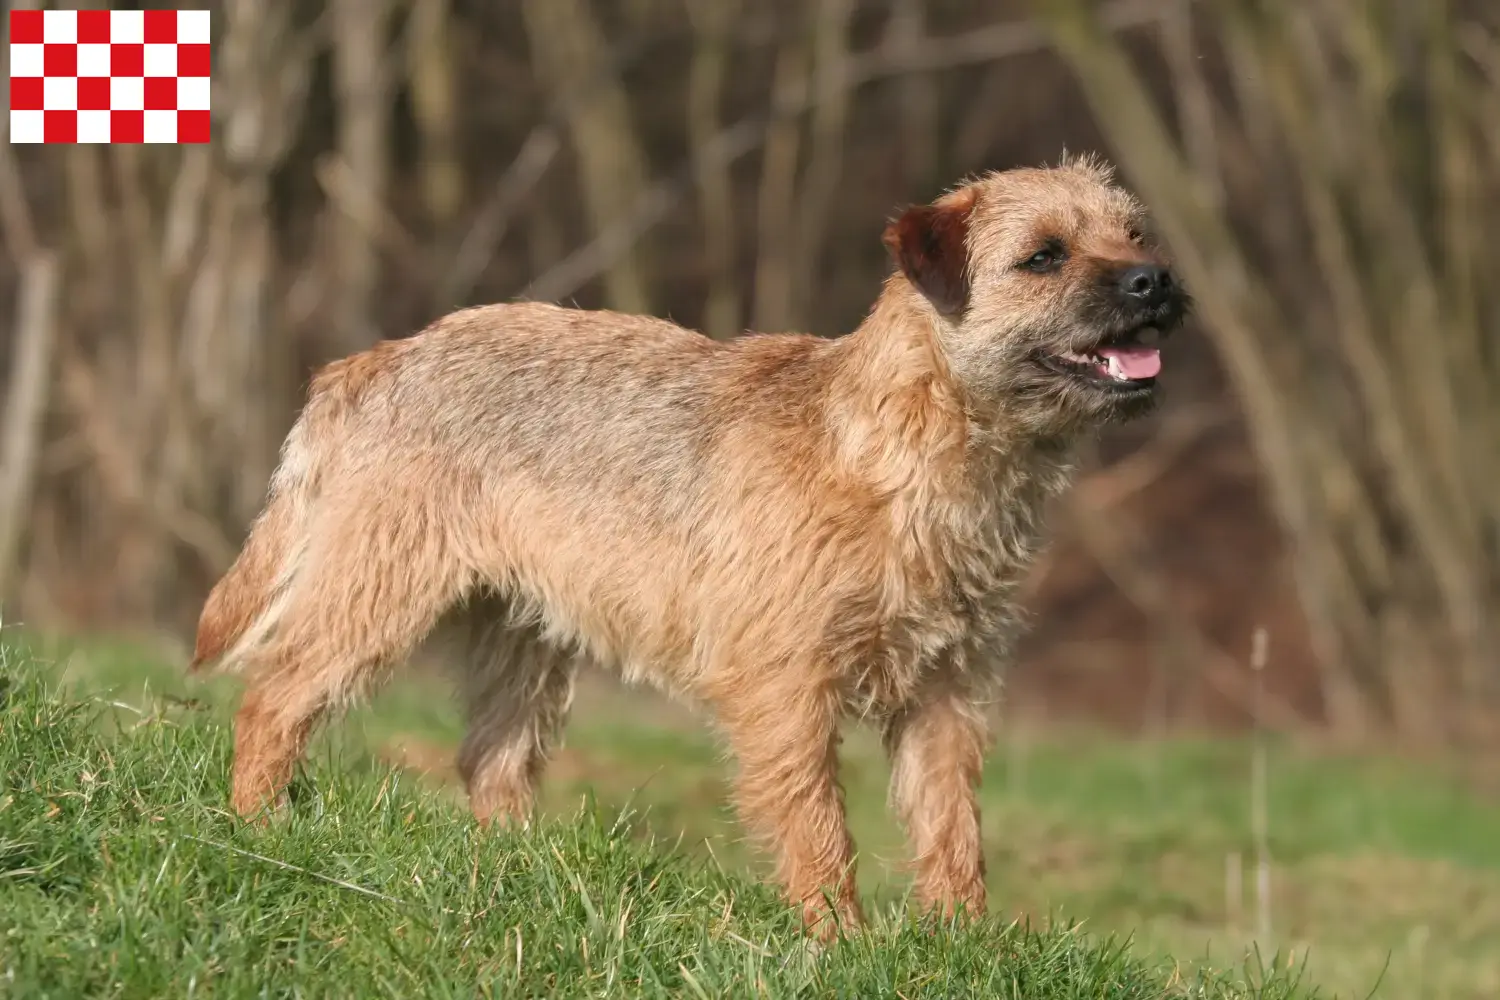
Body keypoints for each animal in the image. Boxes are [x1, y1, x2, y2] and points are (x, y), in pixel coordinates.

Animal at [193, 154, 1188, 941]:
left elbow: (951, 829)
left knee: (490, 760)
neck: (909, 447)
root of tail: (375, 361)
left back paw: (519, 874)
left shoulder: (949, 692)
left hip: (524, 639)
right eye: (1045, 255)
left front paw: (964, 944)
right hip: (379, 590)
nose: (1155, 280)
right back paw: (260, 833)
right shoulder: (784, 691)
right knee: (274, 696)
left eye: (1134, 234)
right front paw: (840, 942)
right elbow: (819, 826)